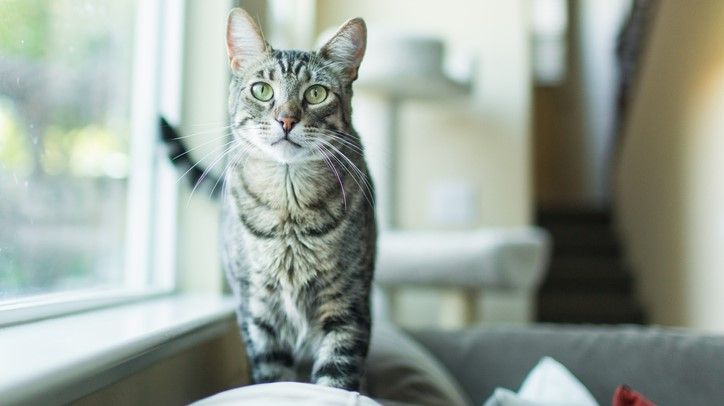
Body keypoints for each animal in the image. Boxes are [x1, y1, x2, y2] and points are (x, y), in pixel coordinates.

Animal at [162, 8, 376, 390]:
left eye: (316, 93)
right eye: (262, 90)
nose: (286, 120)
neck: (289, 209)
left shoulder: (347, 305)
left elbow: (335, 380)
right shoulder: (258, 312)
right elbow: (272, 375)